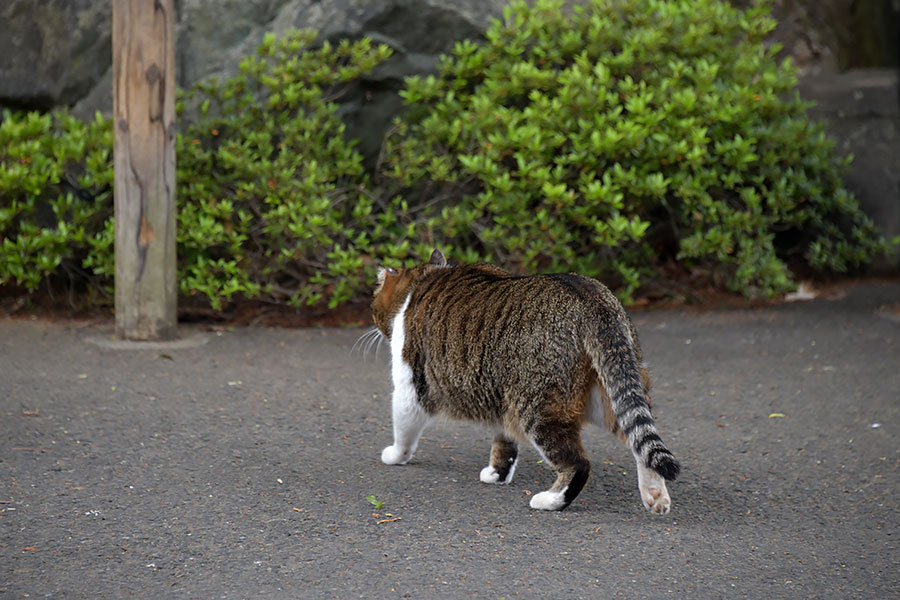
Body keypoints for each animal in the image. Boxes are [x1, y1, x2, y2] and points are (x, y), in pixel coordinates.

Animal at [370, 251, 680, 512]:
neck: (423, 280)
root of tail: (588, 296)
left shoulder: (410, 387)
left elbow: (404, 429)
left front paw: (395, 455)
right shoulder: (497, 391)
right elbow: (504, 442)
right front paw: (498, 473)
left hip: (537, 406)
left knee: (578, 464)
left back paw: (551, 500)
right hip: (610, 395)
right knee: (640, 441)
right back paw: (655, 495)